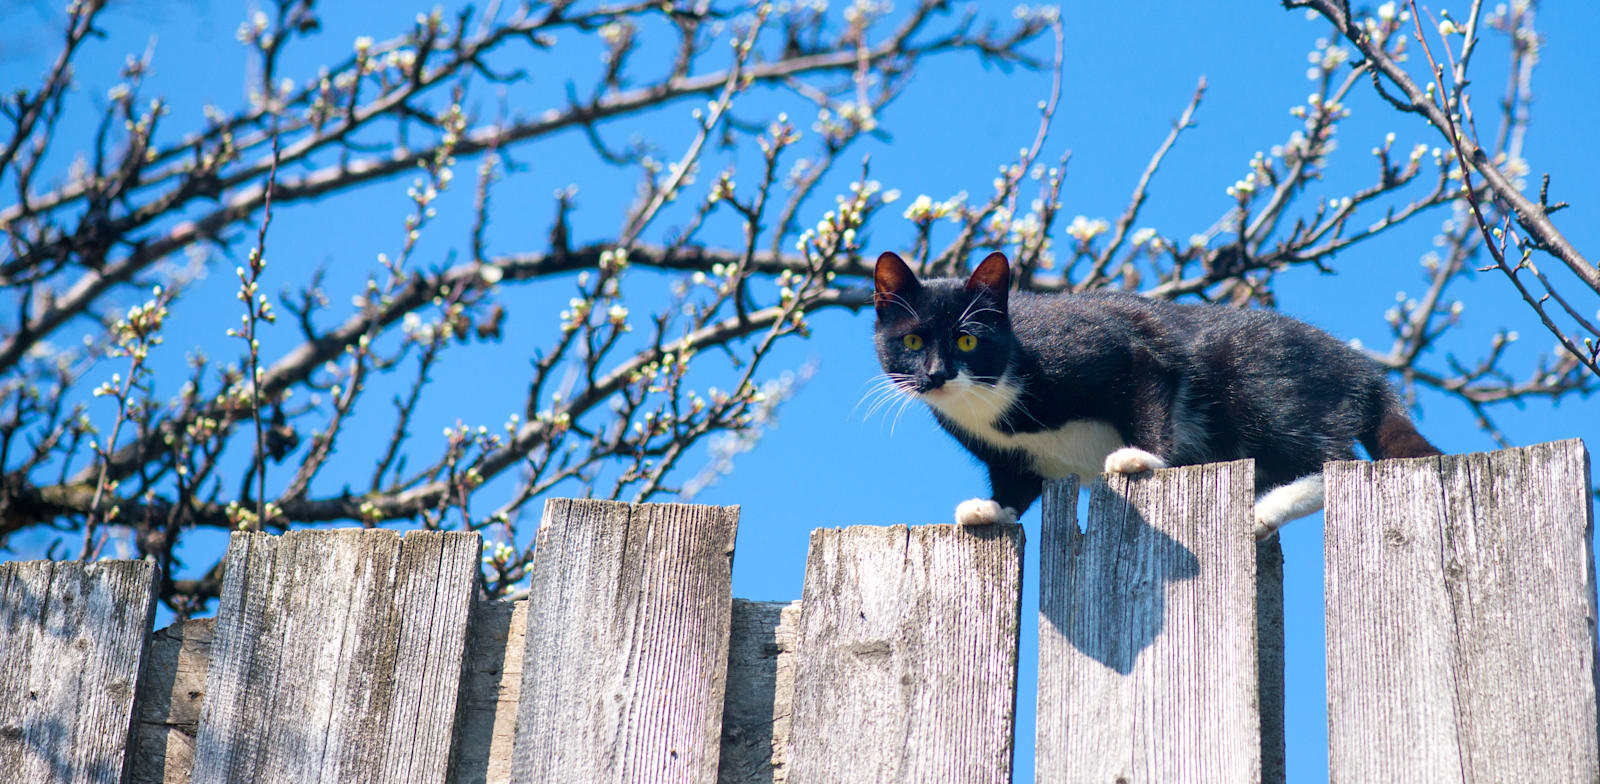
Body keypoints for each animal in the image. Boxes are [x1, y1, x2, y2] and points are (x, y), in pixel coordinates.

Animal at [870, 248, 1446, 534]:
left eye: (968, 339)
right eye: (913, 340)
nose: (936, 374)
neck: (993, 398)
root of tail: (1366, 372)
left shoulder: (1105, 347)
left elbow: (1149, 378)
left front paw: (1139, 457)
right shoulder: (1008, 455)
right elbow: (1017, 483)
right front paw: (992, 509)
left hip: (1261, 379)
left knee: (1336, 460)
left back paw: (1267, 509)